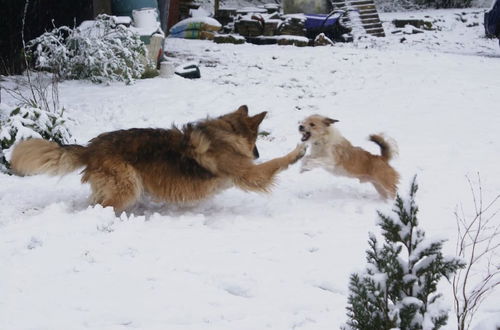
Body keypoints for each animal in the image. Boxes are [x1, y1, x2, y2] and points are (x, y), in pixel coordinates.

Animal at [11, 105, 306, 211]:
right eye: (256, 141)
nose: (256, 153)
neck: (225, 133)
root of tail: (90, 147)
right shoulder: (250, 173)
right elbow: (276, 163)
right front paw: (297, 152)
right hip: (127, 186)